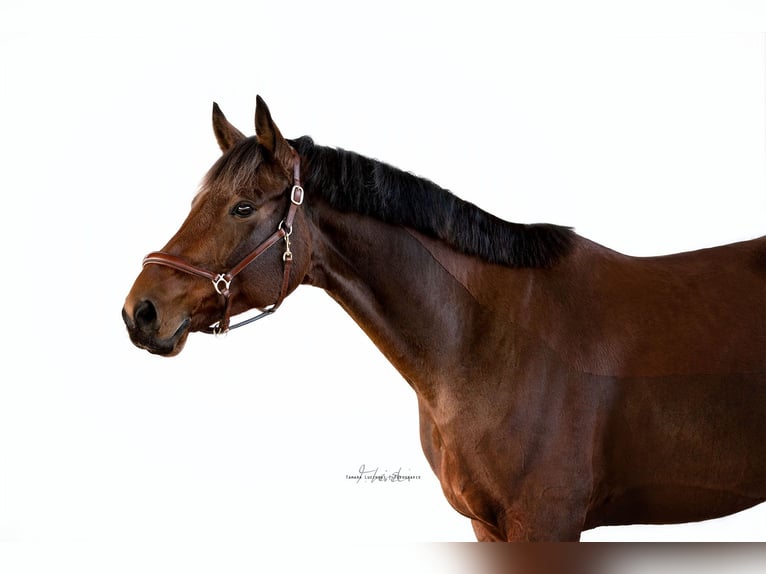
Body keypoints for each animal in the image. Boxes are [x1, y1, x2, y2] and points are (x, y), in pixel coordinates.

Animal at [122, 97, 766, 541]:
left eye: (243, 207)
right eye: (195, 203)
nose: (141, 311)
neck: (490, 341)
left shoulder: (547, 524)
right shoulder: (489, 527)